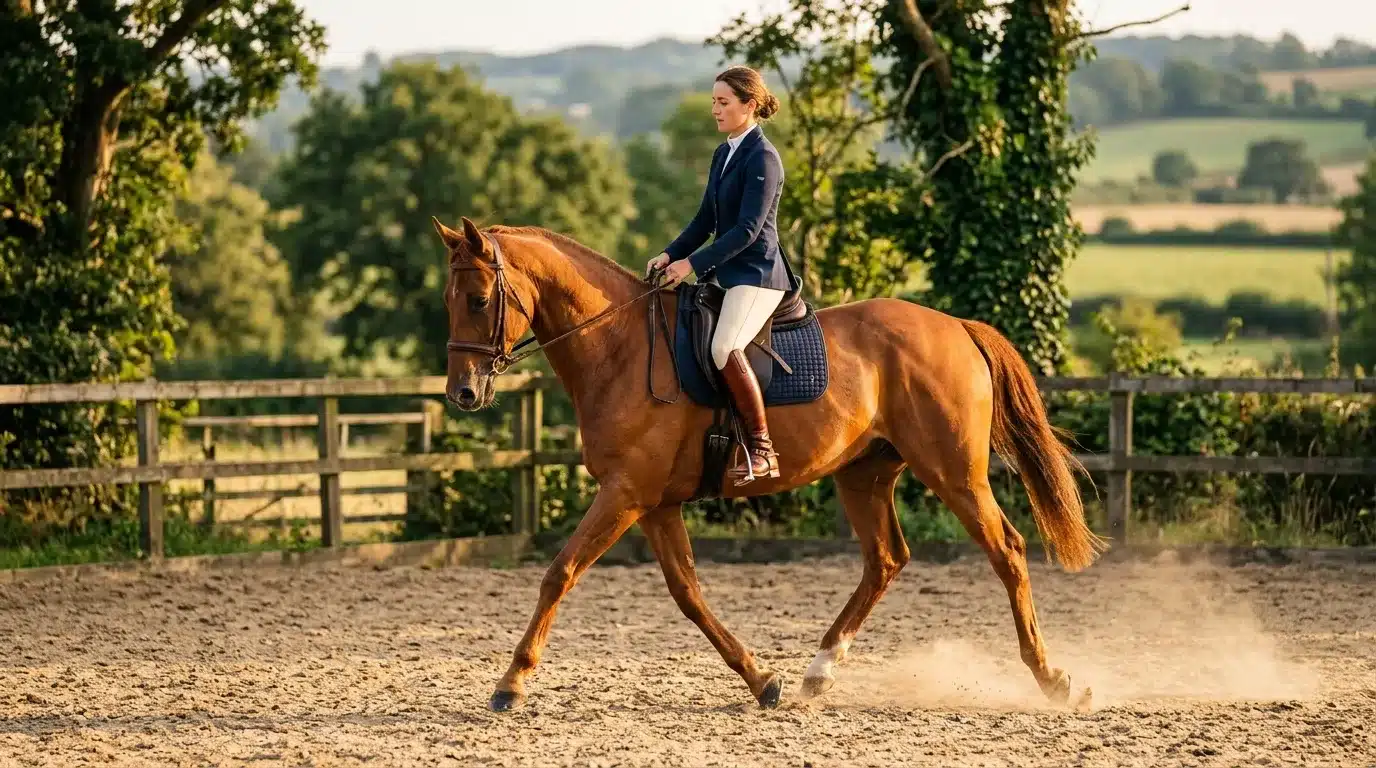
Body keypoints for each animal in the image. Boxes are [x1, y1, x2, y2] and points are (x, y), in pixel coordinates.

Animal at [431, 215, 1106, 713]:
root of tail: (956, 327)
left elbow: (560, 573)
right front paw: (763, 681)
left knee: (1007, 550)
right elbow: (688, 594)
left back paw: (1053, 679)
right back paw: (818, 671)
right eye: (449, 300)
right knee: (886, 559)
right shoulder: (655, 503)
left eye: (479, 299)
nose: (462, 393)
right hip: (863, 473)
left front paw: (511, 683)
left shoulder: (624, 494)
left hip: (953, 472)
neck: (618, 348)